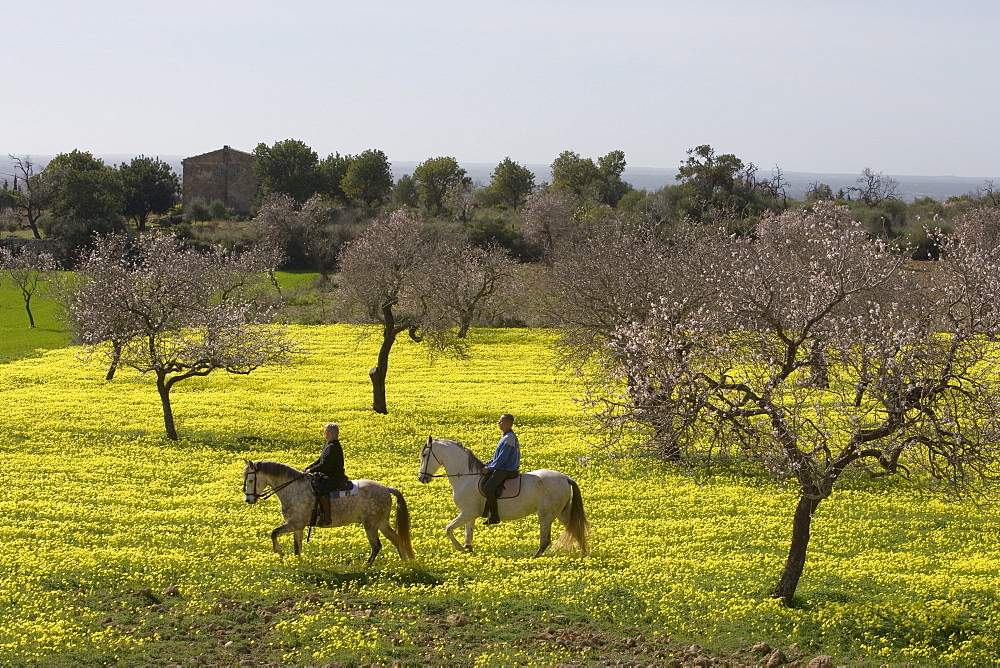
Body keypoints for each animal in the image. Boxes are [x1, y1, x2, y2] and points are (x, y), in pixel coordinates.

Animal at [244, 460, 416, 564]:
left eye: (251, 480)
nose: (248, 499)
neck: (294, 489)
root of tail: (386, 489)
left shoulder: (295, 523)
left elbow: (274, 533)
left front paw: (279, 553)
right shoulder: (297, 526)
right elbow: (297, 547)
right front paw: (297, 563)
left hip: (371, 524)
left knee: (376, 546)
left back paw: (366, 566)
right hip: (381, 523)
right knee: (396, 540)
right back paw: (404, 563)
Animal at [414, 436, 584, 556]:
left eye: (425, 454)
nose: (422, 478)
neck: (466, 476)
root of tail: (565, 478)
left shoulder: (468, 512)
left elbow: (448, 529)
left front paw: (460, 548)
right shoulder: (469, 514)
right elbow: (468, 533)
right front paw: (468, 549)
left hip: (546, 514)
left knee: (546, 540)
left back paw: (534, 558)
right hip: (562, 512)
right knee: (575, 530)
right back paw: (584, 554)